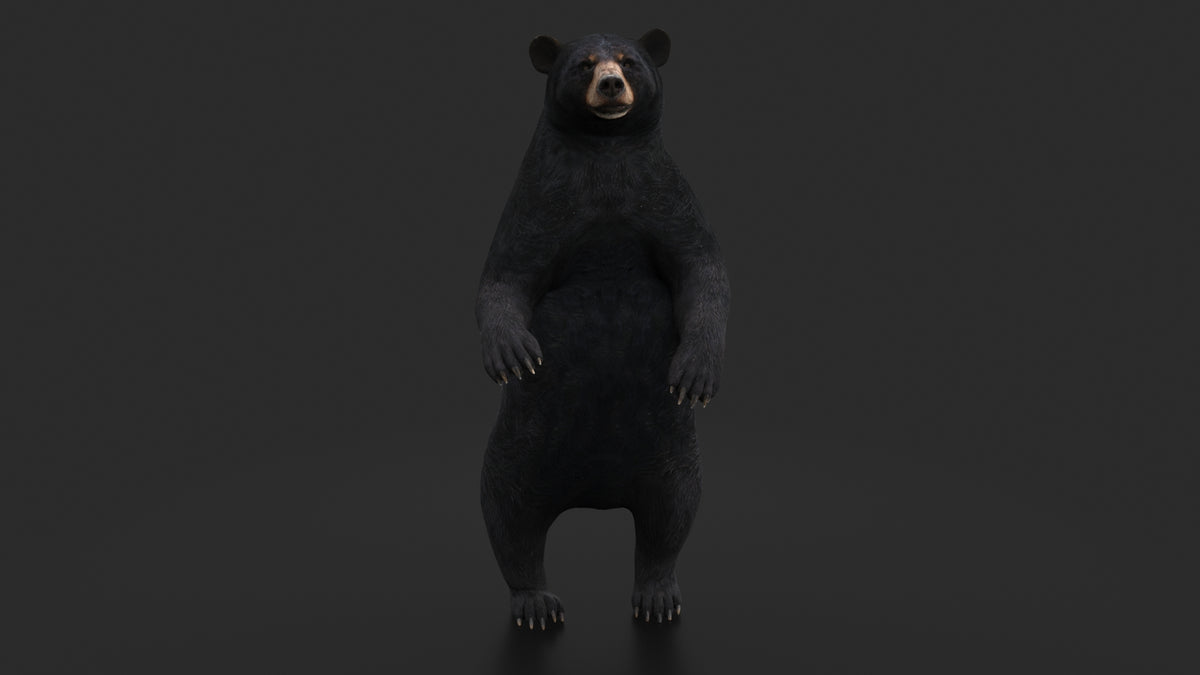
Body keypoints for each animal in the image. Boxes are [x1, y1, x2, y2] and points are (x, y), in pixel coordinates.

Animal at [476, 28, 730, 629]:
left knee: (673, 511)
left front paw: (696, 372)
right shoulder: (541, 200)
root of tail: (597, 494)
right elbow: (506, 273)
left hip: (670, 454)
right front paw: (512, 354)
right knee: (506, 510)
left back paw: (657, 596)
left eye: (630, 62)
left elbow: (702, 266)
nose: (611, 84)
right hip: (519, 450)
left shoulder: (664, 196)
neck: (605, 149)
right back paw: (536, 603)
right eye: (584, 64)